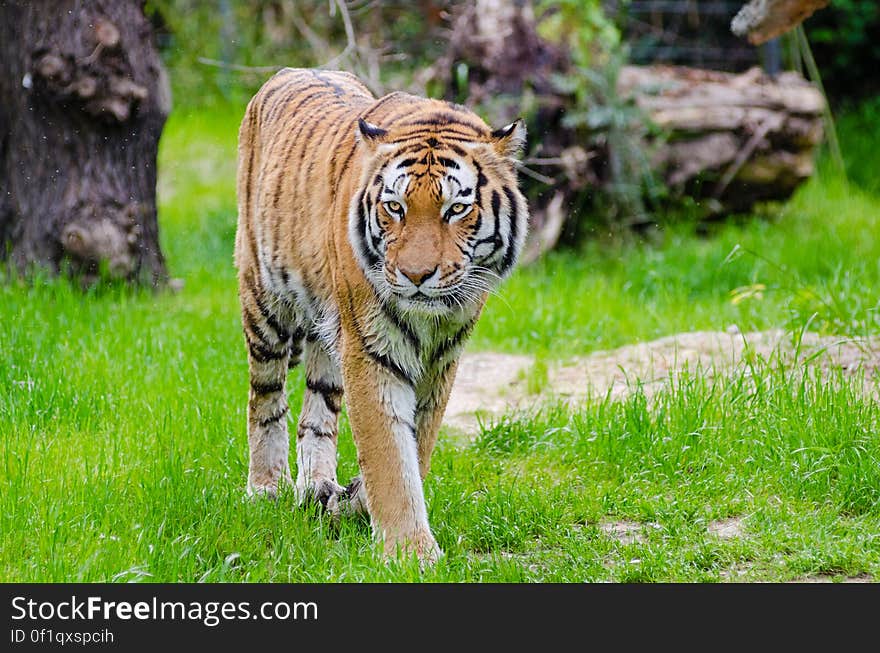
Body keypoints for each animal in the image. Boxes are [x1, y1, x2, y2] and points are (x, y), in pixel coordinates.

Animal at [234, 69, 528, 564]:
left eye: (457, 209)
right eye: (395, 207)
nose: (416, 275)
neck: (431, 320)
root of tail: (287, 73)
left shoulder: (441, 360)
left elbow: (416, 446)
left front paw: (352, 503)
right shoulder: (371, 351)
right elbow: (389, 454)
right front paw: (411, 553)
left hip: (327, 335)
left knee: (317, 411)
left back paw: (316, 487)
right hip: (265, 302)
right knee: (266, 397)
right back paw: (266, 489)